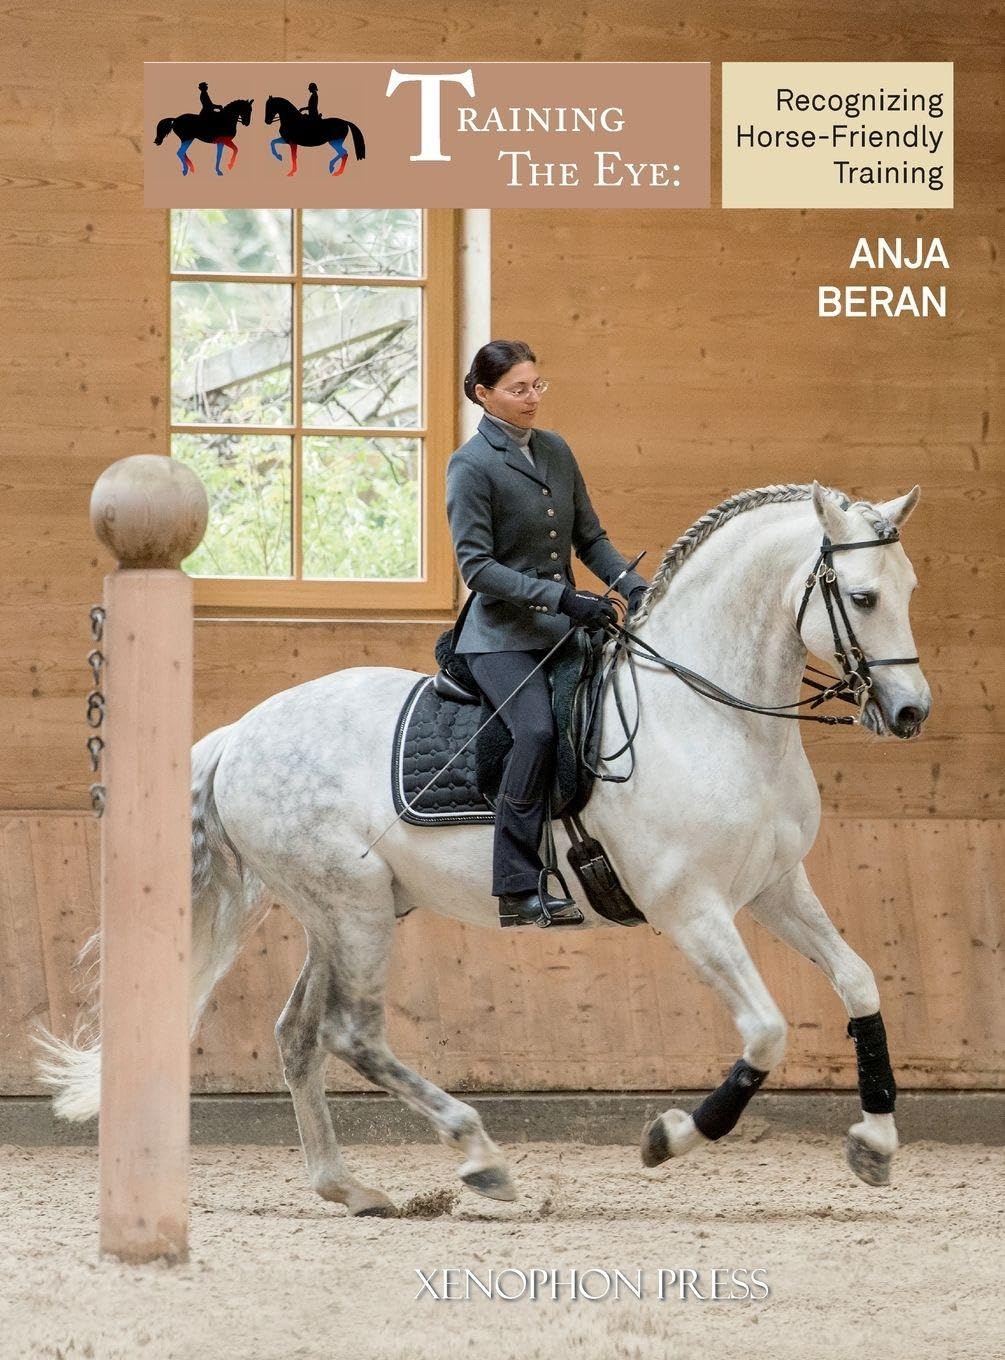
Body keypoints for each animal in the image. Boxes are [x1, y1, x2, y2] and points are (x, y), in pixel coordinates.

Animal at [36, 481, 930, 1218]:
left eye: (909, 588)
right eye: (861, 595)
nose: (909, 711)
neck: (711, 714)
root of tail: (239, 735)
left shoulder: (776, 886)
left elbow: (857, 982)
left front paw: (873, 1143)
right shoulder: (690, 909)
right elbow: (766, 1030)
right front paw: (670, 1135)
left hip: (344, 913)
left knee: (298, 1034)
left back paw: (349, 1188)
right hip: (354, 910)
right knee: (351, 1036)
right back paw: (478, 1158)